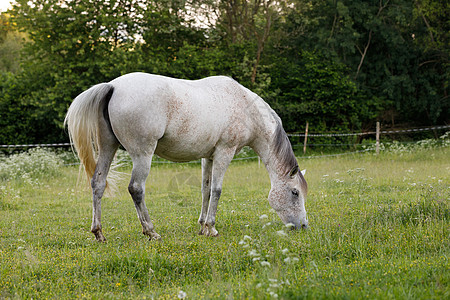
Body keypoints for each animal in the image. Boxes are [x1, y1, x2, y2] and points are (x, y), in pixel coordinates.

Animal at [63, 72, 308, 241]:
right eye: (295, 192)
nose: (303, 226)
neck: (245, 108)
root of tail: (113, 86)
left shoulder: (208, 157)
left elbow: (205, 190)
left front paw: (202, 227)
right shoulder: (224, 152)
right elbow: (217, 190)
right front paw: (212, 228)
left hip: (108, 147)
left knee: (98, 184)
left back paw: (99, 233)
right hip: (143, 154)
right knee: (136, 188)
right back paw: (151, 231)